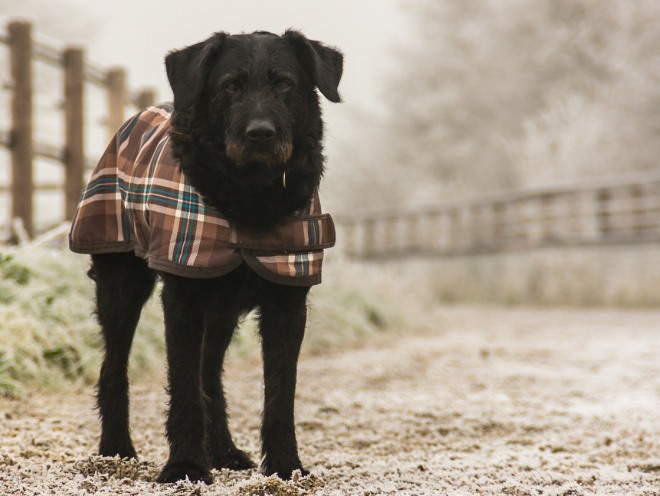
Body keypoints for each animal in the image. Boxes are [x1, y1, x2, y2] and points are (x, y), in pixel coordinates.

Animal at [89, 29, 340, 482]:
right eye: (230, 86)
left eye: (284, 83)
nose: (260, 133)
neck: (249, 195)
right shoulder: (184, 296)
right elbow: (184, 386)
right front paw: (185, 466)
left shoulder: (288, 301)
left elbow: (280, 392)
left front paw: (286, 466)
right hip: (121, 287)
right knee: (114, 366)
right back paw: (116, 449)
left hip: (221, 312)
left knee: (211, 375)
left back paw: (223, 451)